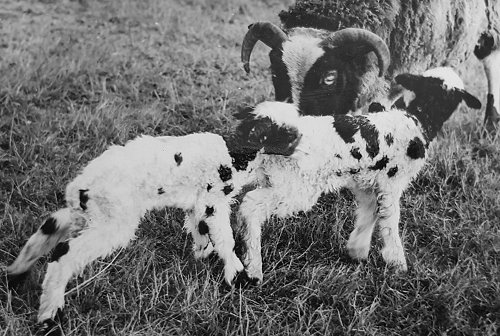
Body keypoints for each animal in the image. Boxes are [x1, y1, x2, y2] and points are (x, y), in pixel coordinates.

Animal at [4, 134, 254, 334]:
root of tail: (81, 187)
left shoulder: (198, 205)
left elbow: (200, 227)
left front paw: (203, 253)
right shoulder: (213, 200)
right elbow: (224, 237)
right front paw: (238, 276)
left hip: (87, 215)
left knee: (50, 227)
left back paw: (15, 276)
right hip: (114, 220)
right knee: (65, 251)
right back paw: (49, 317)